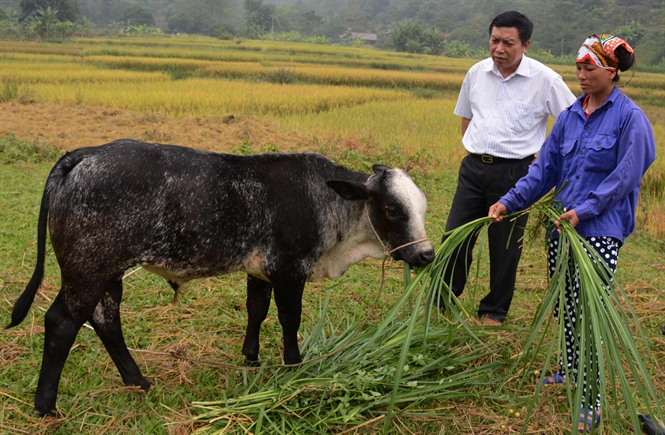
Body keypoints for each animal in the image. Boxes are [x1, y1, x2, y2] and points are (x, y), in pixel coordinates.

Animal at [7, 141, 438, 418]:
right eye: (393, 208)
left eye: (421, 207)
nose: (426, 254)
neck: (328, 202)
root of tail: (84, 155)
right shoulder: (289, 272)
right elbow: (289, 321)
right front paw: (295, 367)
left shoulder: (260, 271)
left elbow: (256, 311)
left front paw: (251, 358)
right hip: (87, 271)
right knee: (62, 323)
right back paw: (46, 407)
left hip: (108, 275)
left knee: (106, 321)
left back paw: (138, 381)